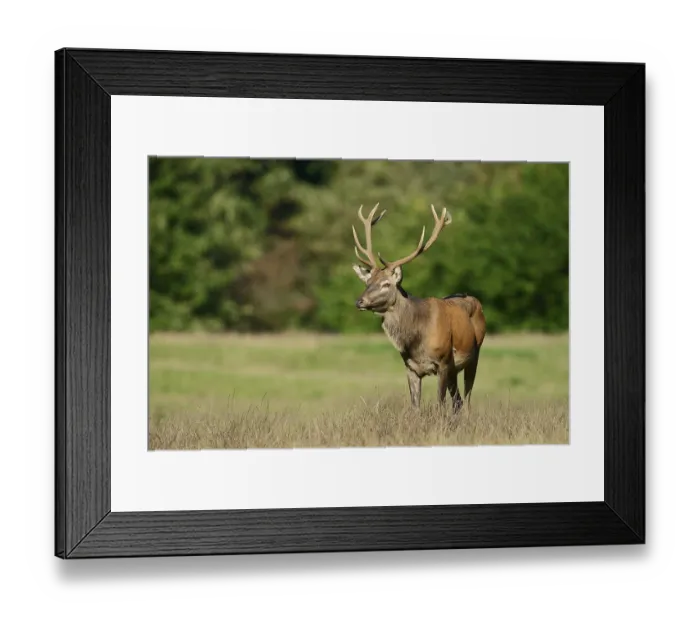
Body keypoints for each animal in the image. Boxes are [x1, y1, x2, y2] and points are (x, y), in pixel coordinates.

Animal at [351, 203, 486, 415]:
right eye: (367, 282)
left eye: (386, 284)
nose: (360, 301)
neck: (416, 340)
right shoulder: (410, 367)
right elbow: (415, 407)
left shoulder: (443, 362)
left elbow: (440, 404)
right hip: (455, 370)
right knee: (457, 401)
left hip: (474, 354)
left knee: (467, 398)